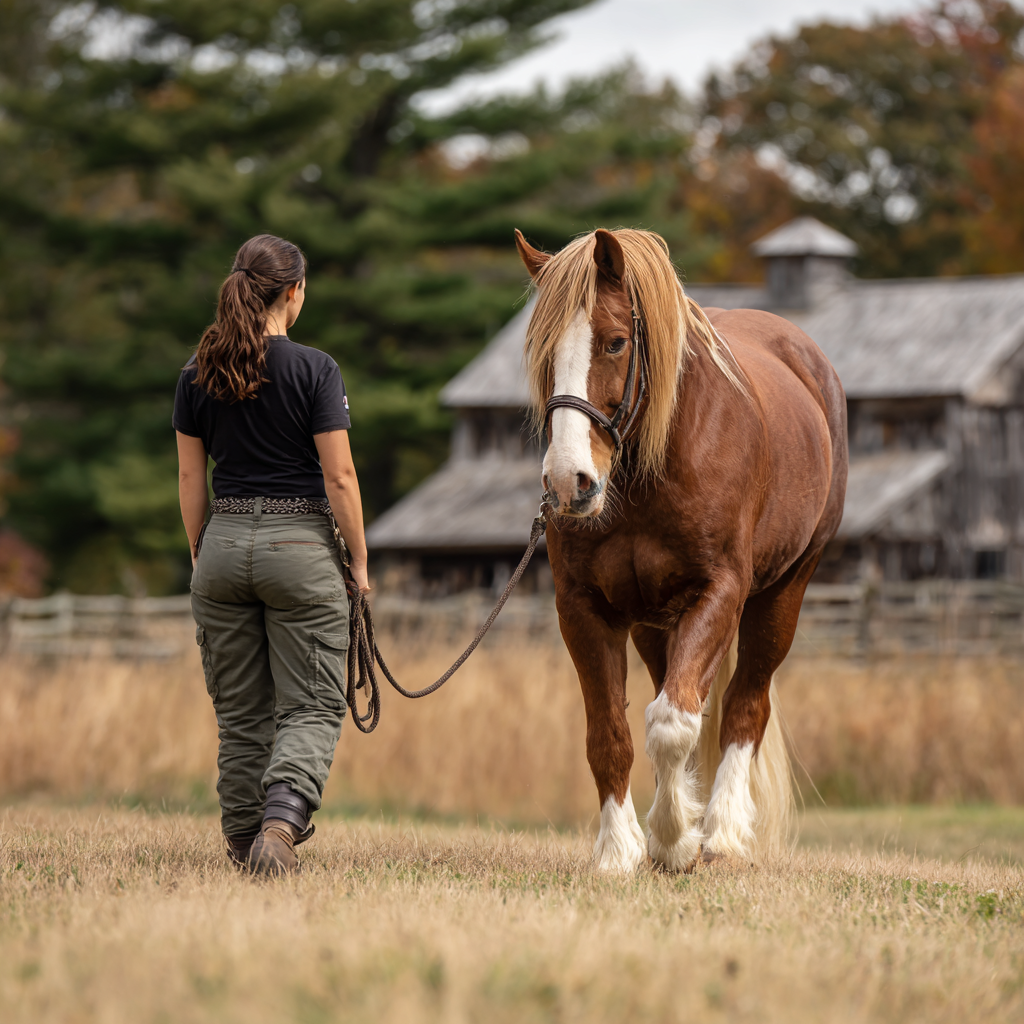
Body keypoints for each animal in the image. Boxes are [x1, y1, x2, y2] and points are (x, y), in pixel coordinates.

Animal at [515, 227, 848, 872]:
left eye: (615, 342)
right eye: (542, 354)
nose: (569, 482)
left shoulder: (718, 593)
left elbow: (672, 724)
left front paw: (673, 839)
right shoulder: (584, 607)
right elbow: (611, 733)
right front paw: (620, 850)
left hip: (782, 595)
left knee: (744, 707)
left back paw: (721, 833)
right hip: (654, 623)